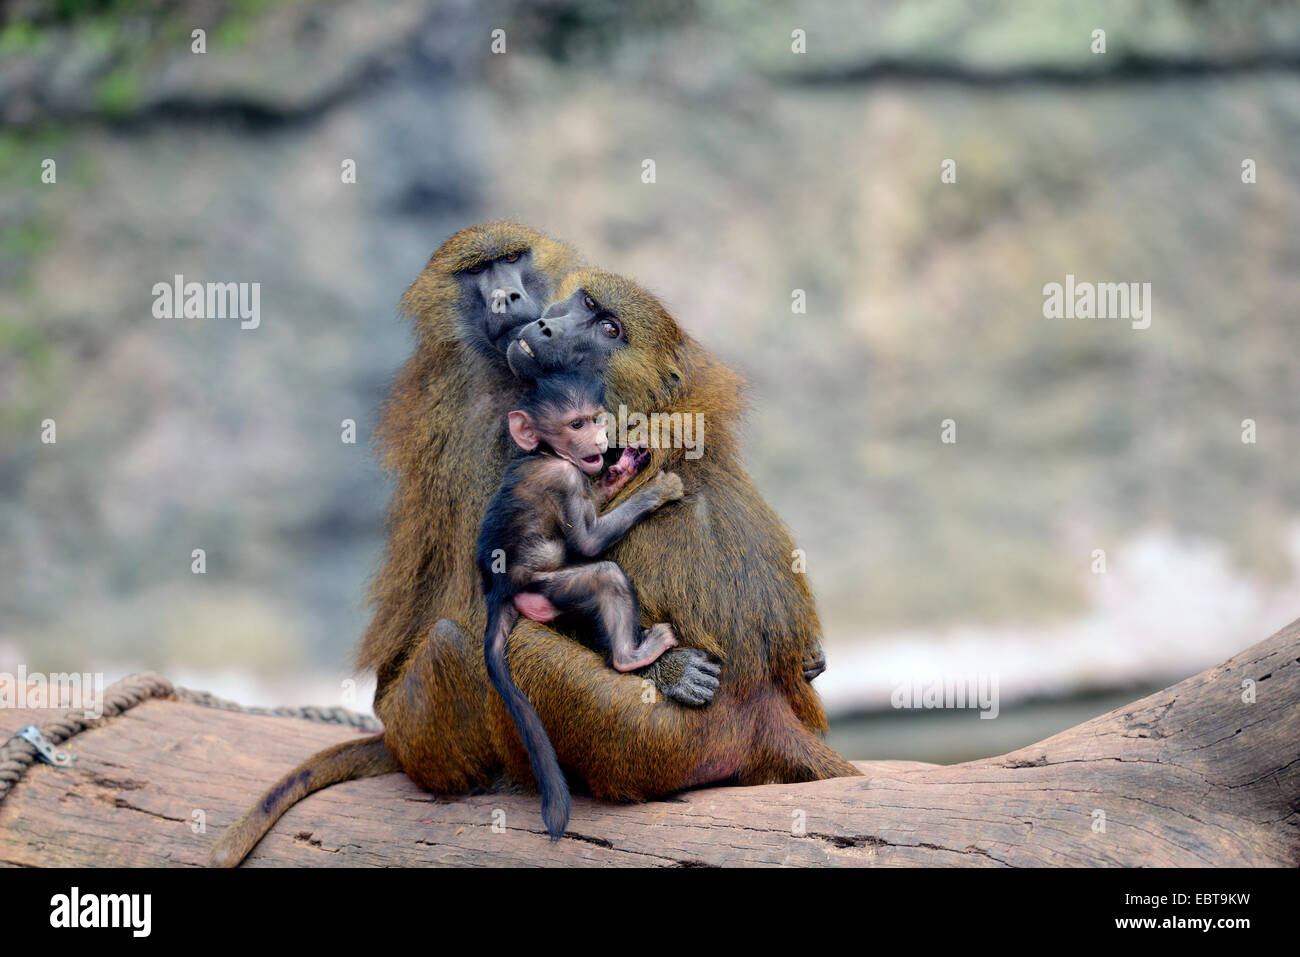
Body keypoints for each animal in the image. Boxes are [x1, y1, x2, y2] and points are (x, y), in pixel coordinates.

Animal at [477, 372, 698, 840]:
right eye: (576, 424)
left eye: (595, 419)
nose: (600, 437)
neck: (544, 453)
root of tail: (497, 592)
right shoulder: (563, 477)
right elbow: (588, 541)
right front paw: (659, 490)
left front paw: (624, 469)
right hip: (549, 587)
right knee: (606, 575)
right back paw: (631, 656)